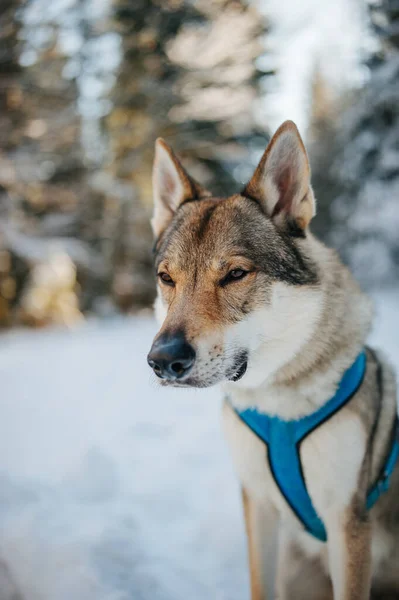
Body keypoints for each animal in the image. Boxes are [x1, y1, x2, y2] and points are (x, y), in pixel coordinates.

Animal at [147, 119, 399, 596]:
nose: (163, 359)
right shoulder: (258, 504)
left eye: (235, 274)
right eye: (167, 279)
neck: (277, 403)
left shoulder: (347, 522)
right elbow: (259, 584)